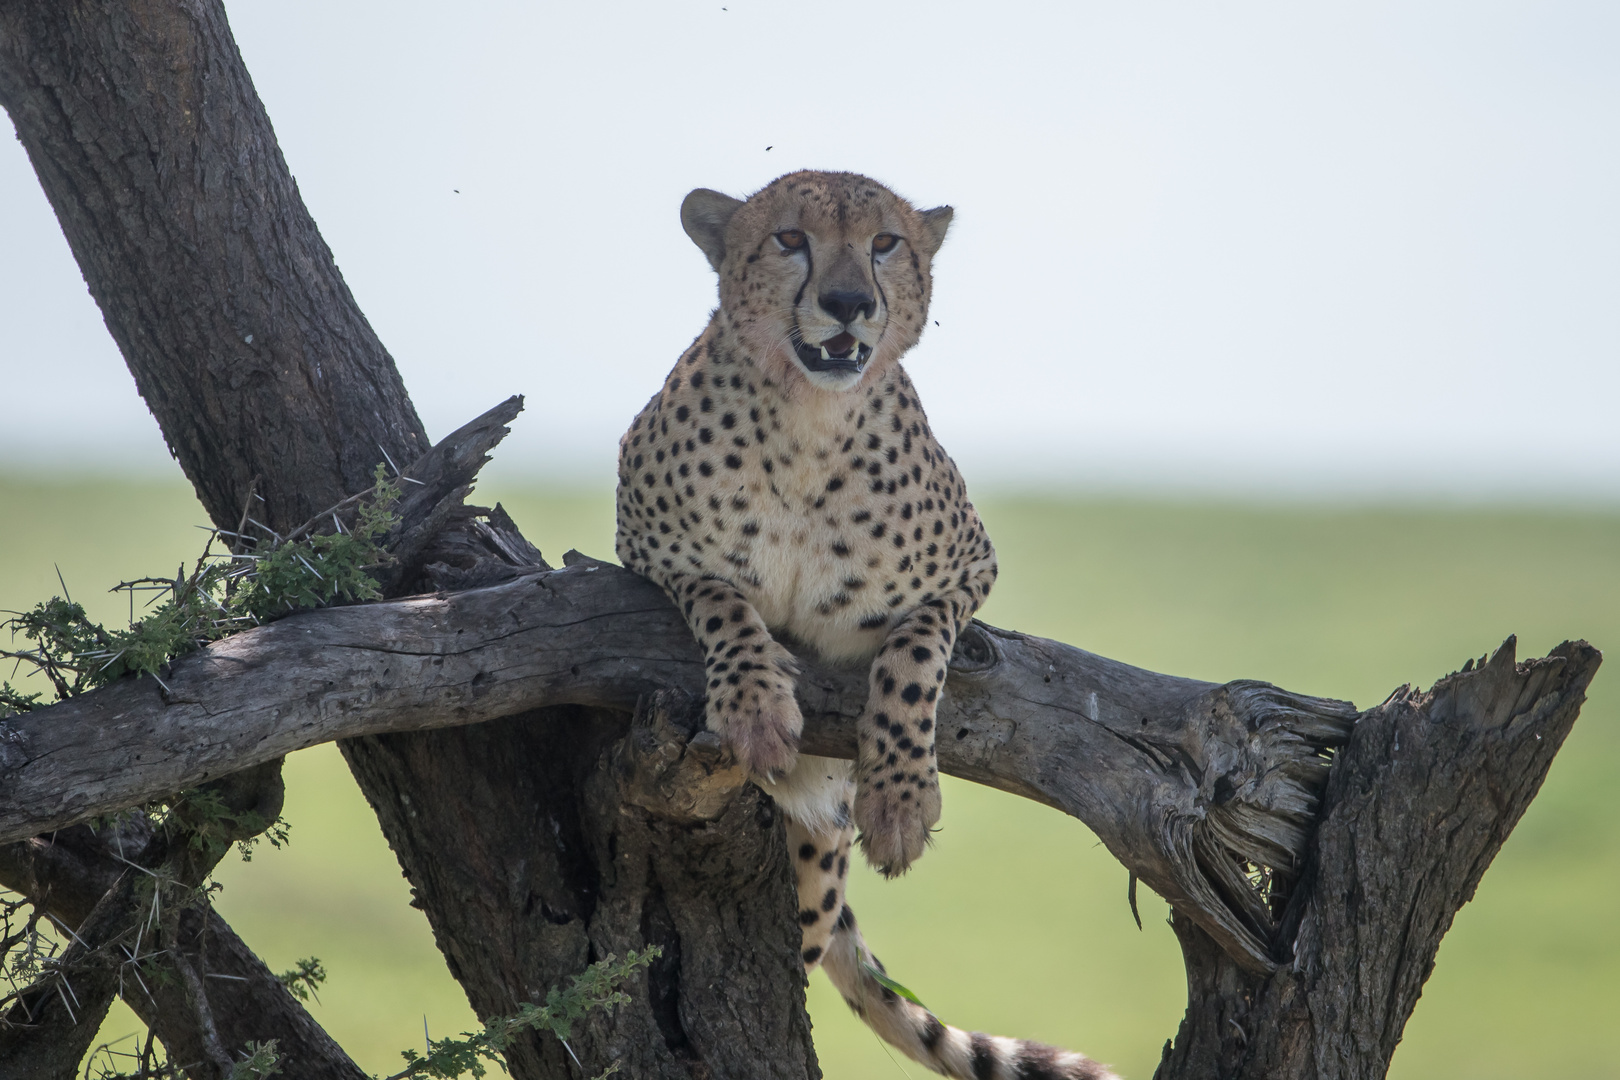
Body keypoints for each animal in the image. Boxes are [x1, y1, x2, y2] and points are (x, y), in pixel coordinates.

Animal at [615, 173, 1114, 1075]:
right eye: (788, 239)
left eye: (885, 243)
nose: (847, 302)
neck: (809, 423)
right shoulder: (646, 551)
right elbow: (725, 604)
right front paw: (756, 708)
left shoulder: (968, 572)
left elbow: (914, 659)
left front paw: (901, 800)